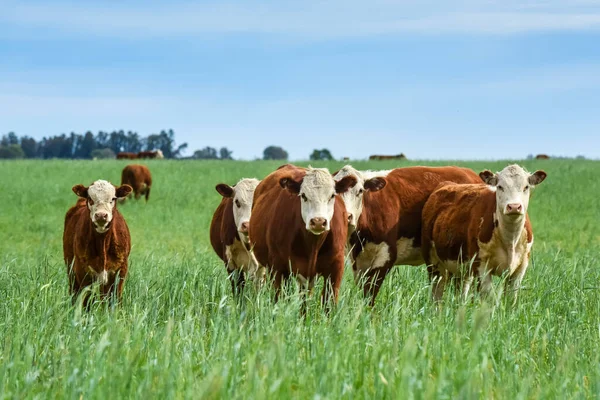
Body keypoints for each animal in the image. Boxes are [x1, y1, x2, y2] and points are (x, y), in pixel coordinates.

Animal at [62, 180, 133, 308]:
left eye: (113, 198)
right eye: (90, 198)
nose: (101, 215)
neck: (102, 244)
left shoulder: (120, 272)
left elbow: (114, 301)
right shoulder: (83, 272)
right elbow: (86, 302)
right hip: (71, 271)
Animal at [248, 164, 356, 308]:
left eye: (332, 195)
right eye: (303, 196)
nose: (318, 221)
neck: (313, 244)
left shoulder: (336, 268)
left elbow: (328, 303)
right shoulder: (279, 268)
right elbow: (279, 299)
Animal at [332, 164, 482, 304]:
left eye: (360, 191)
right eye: (334, 194)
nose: (347, 216)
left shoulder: (386, 255)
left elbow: (370, 293)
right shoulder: (358, 263)